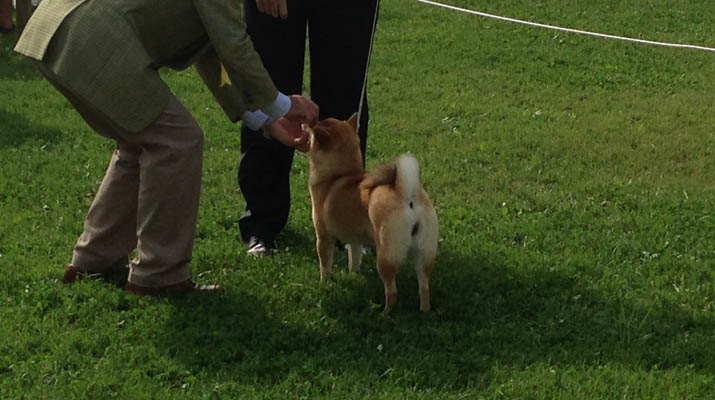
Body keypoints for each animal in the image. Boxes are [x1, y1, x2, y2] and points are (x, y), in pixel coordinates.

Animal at [306, 114, 440, 310]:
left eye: (318, 125)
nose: (312, 121)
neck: (339, 175)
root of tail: (408, 196)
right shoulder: (355, 240)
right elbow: (354, 258)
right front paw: (353, 274)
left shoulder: (323, 238)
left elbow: (325, 265)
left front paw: (324, 283)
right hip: (423, 256)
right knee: (424, 288)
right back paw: (424, 311)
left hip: (386, 257)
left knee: (392, 291)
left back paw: (385, 312)